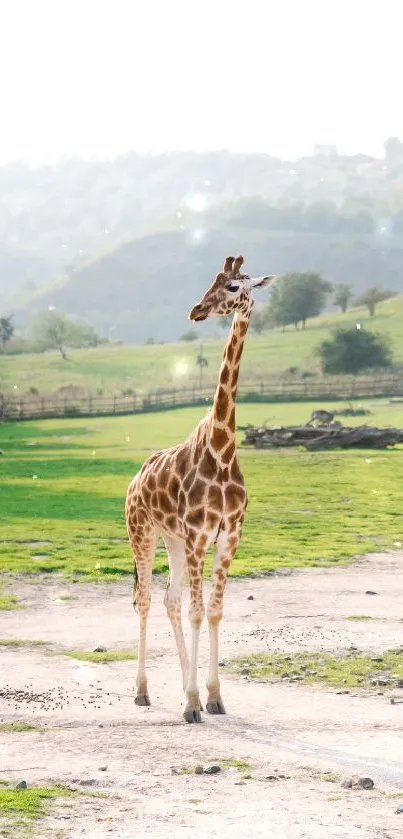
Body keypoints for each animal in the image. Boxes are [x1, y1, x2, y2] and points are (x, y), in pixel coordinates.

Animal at [126, 254, 276, 720]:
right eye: (212, 281)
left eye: (233, 287)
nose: (196, 310)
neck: (223, 450)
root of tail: (135, 479)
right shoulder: (198, 534)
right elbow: (196, 611)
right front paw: (192, 702)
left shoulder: (228, 535)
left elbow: (212, 611)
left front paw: (211, 696)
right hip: (143, 533)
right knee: (147, 599)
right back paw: (143, 691)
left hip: (172, 540)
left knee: (171, 600)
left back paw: (179, 686)